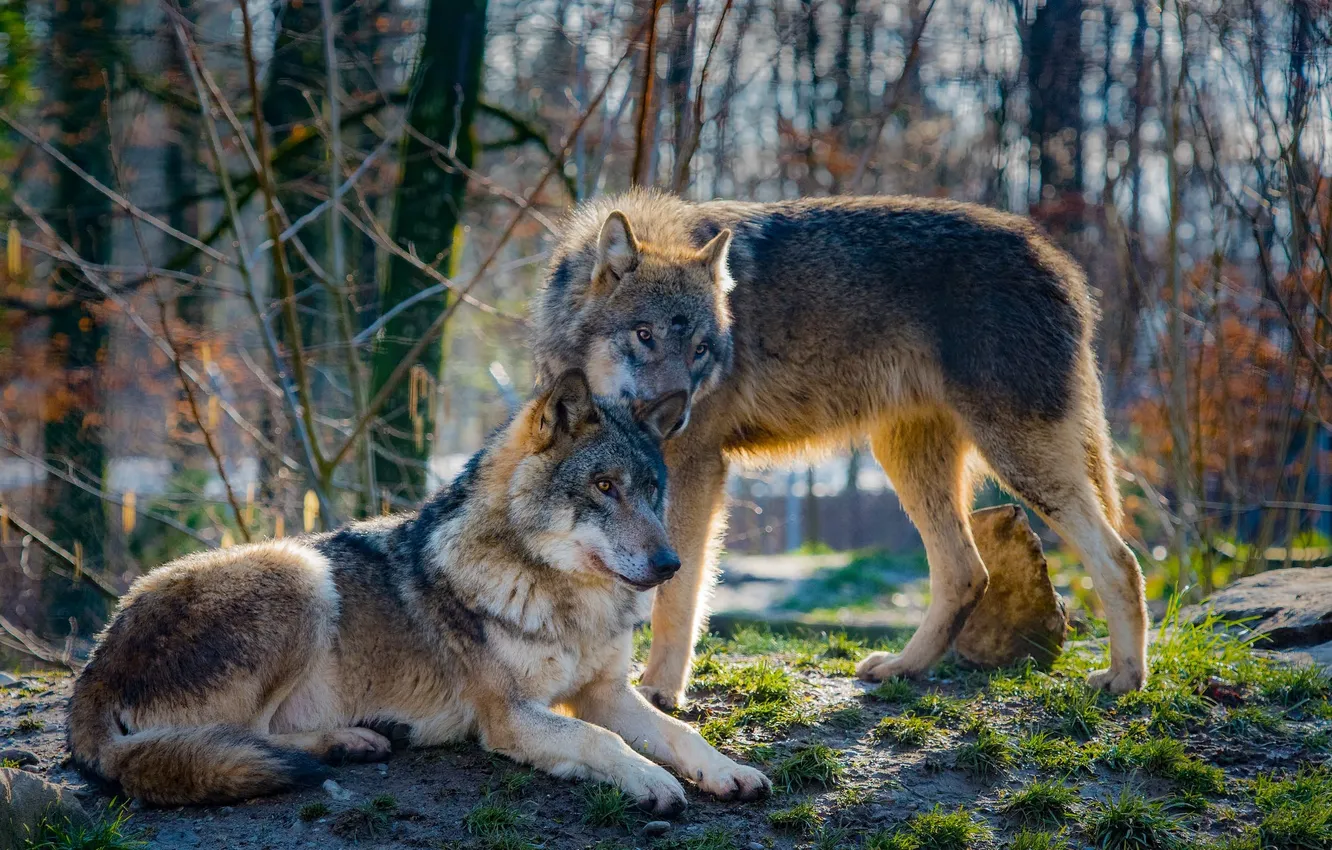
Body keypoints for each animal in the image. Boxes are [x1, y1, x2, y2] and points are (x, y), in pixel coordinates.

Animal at [67, 370, 770, 810]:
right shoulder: (508, 716)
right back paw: (350, 741)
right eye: (603, 487)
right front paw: (651, 782)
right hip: (300, 572)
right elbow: (604, 741)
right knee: (248, 737)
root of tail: (95, 663)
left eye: (651, 491)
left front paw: (727, 771)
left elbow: (679, 734)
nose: (671, 563)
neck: (565, 599)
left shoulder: (604, 692)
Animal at [531, 191, 1149, 710]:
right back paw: (903, 668)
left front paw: (660, 690)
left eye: (702, 349)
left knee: (1119, 559)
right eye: (645, 335)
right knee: (967, 572)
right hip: (908, 460)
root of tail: (1062, 262)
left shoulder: (695, 468)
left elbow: (677, 592)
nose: (676, 415)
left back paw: (1124, 678)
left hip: (1018, 460)